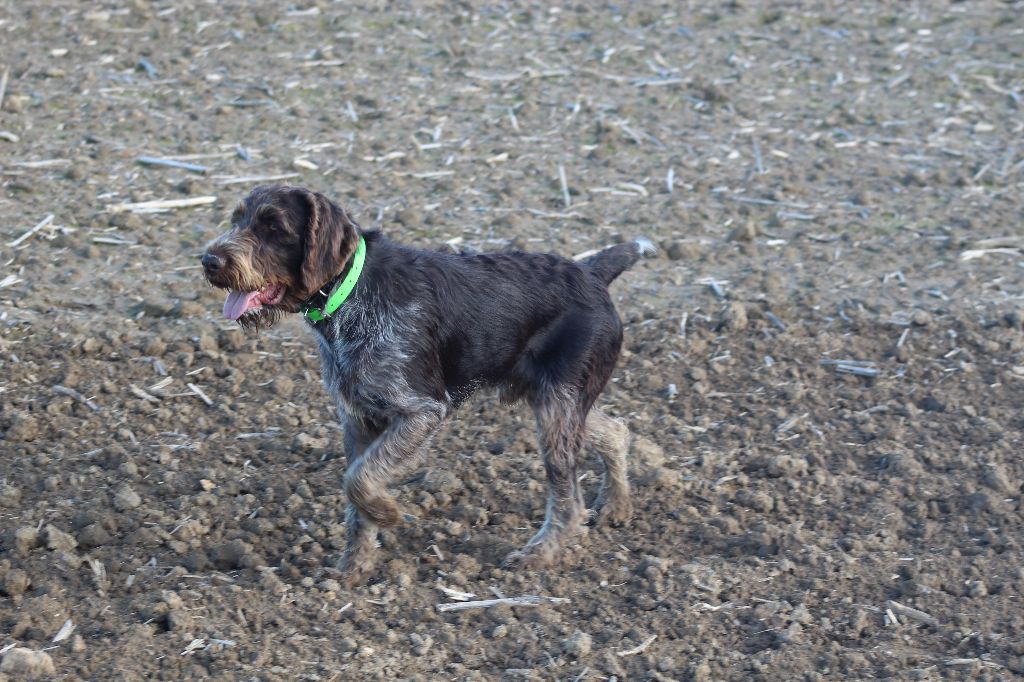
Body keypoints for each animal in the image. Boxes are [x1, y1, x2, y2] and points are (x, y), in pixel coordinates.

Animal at [200, 186, 651, 585]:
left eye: (273, 226)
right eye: (236, 219)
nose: (208, 260)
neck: (350, 293)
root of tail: (592, 273)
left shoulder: (421, 411)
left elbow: (359, 480)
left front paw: (386, 514)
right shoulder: (357, 419)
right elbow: (355, 496)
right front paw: (353, 568)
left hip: (558, 406)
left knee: (569, 499)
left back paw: (540, 555)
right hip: (551, 397)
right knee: (616, 431)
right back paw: (617, 504)